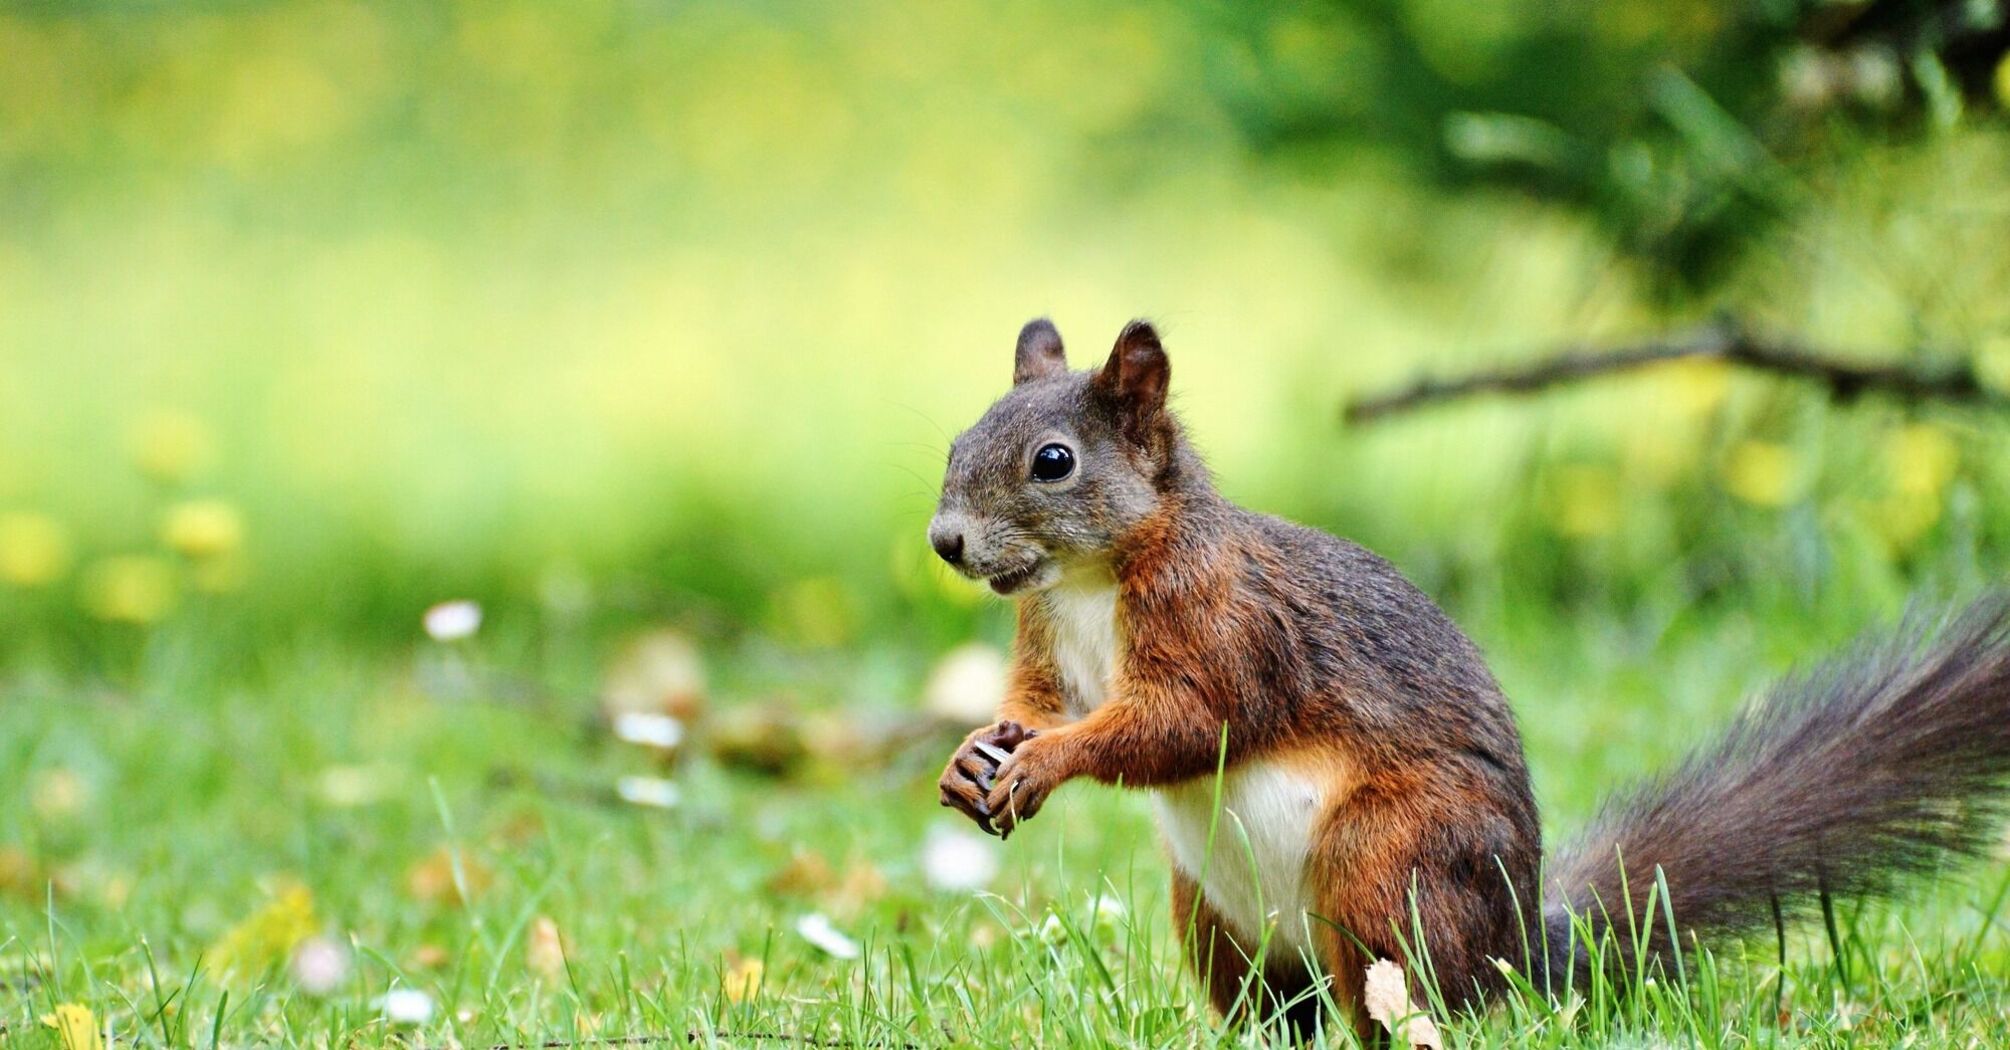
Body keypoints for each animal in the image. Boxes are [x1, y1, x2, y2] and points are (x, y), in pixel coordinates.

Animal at [924, 313, 2010, 1025]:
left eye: (1054, 461)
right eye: (956, 442)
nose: (946, 542)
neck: (1087, 582)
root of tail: (1516, 952)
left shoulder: (1229, 630)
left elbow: (1184, 722)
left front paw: (1046, 761)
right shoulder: (1048, 643)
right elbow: (1040, 699)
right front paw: (978, 753)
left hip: (1386, 867)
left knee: (1405, 1000)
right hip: (1217, 920)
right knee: (1277, 1012)